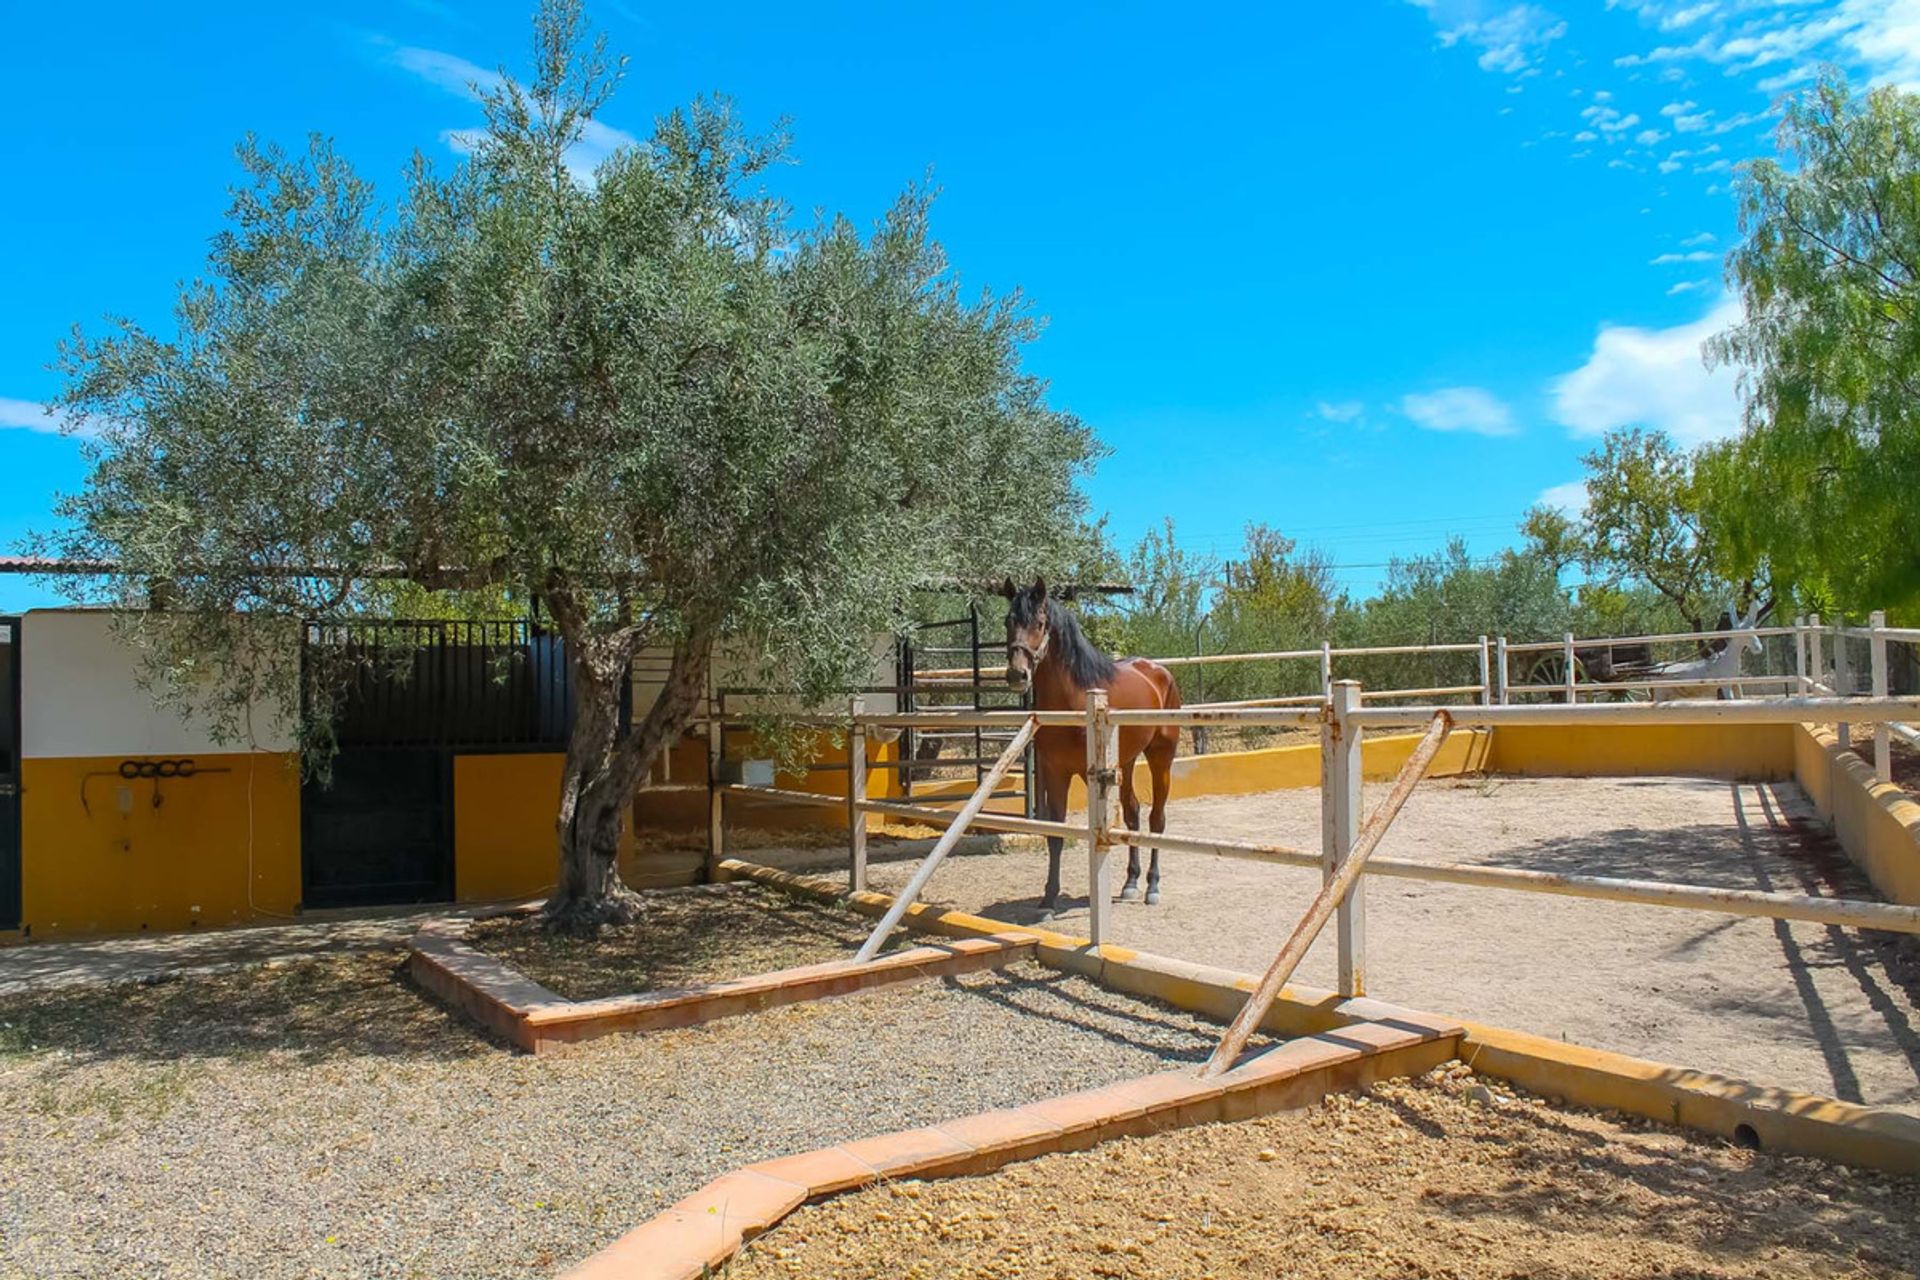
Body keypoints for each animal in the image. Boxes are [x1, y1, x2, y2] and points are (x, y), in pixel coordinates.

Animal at [998, 575, 1175, 917]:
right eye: (1007, 621)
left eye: (1040, 623)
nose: (1017, 675)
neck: (1073, 700)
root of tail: (1158, 672)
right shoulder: (1055, 772)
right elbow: (1056, 833)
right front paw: (1048, 899)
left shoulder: (1090, 775)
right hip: (1127, 762)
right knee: (1133, 813)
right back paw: (1130, 883)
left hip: (1161, 756)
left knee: (1156, 819)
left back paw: (1153, 887)